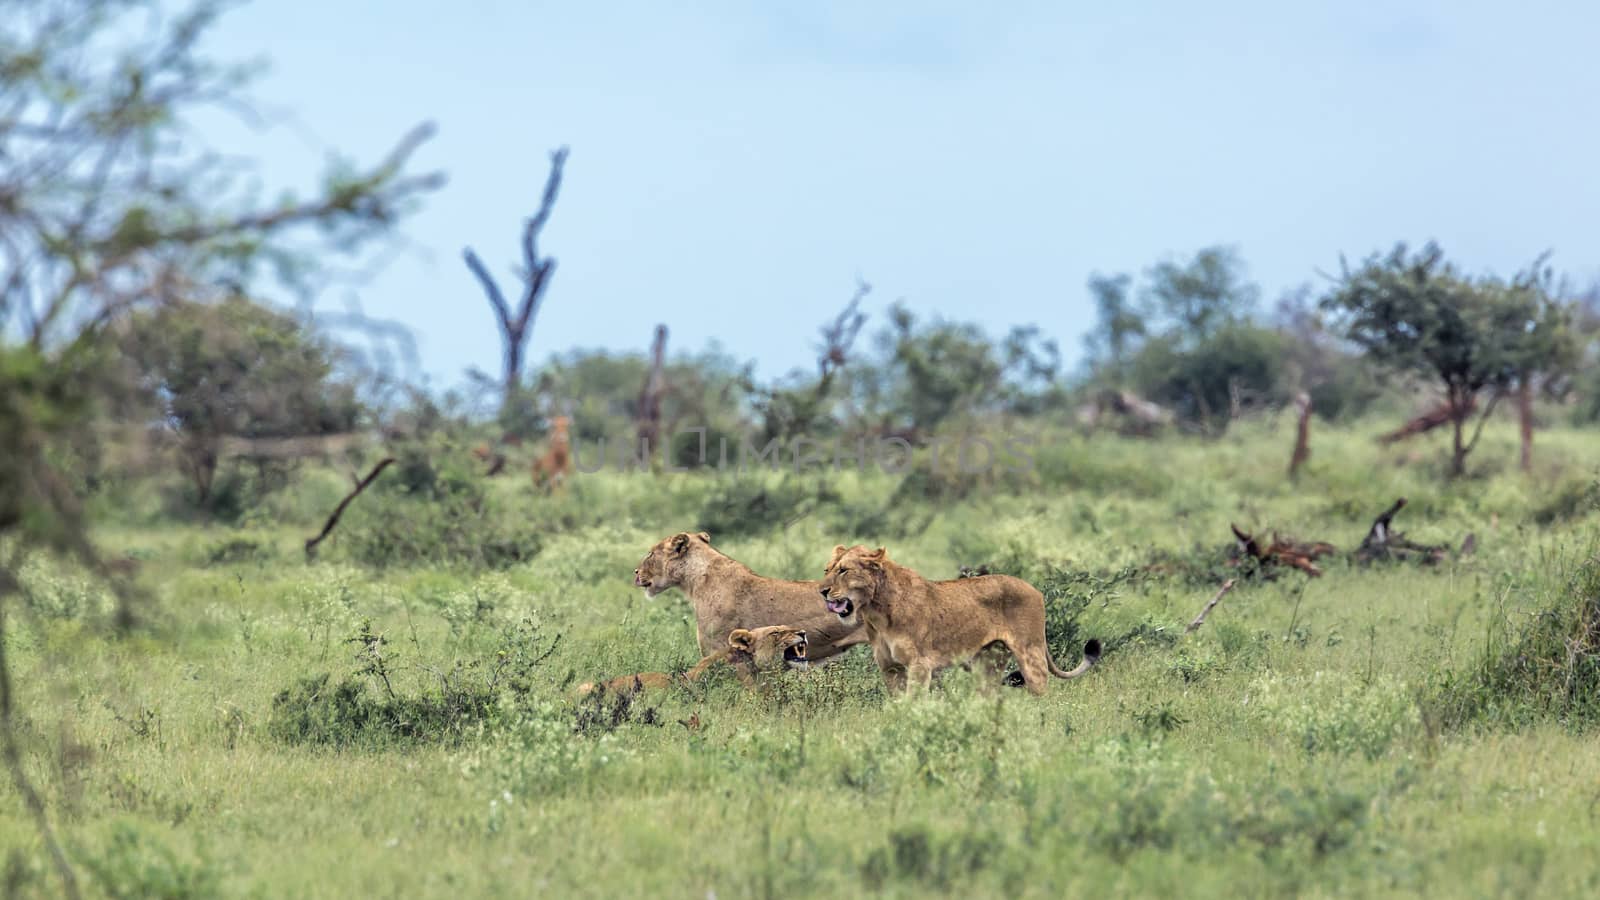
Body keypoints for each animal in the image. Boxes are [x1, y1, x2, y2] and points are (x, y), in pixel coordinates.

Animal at [825, 538, 1100, 695]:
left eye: (843, 570)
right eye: (827, 570)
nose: (823, 591)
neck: (876, 613)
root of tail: (1036, 589)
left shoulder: (919, 665)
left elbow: (914, 702)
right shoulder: (890, 668)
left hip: (1030, 653)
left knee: (1041, 692)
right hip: (987, 662)